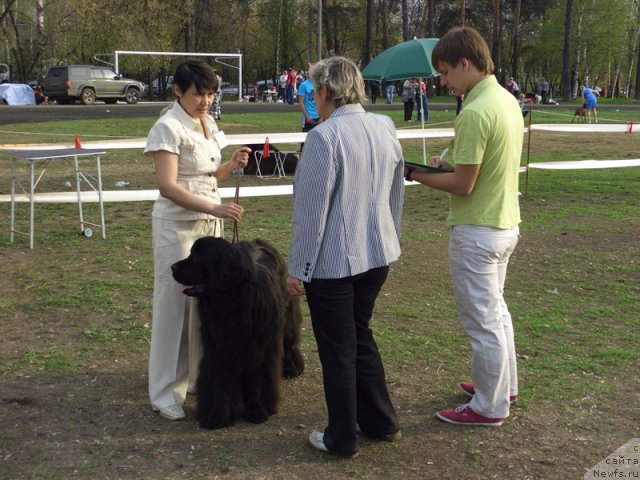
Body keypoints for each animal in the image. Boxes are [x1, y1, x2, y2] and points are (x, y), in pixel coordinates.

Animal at [171, 238, 304, 430]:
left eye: (198, 256)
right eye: (191, 253)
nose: (172, 267)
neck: (232, 300)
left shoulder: (259, 346)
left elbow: (258, 379)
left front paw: (256, 410)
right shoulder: (219, 346)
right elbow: (221, 382)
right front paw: (218, 415)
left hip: (286, 320)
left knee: (290, 343)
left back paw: (293, 368)